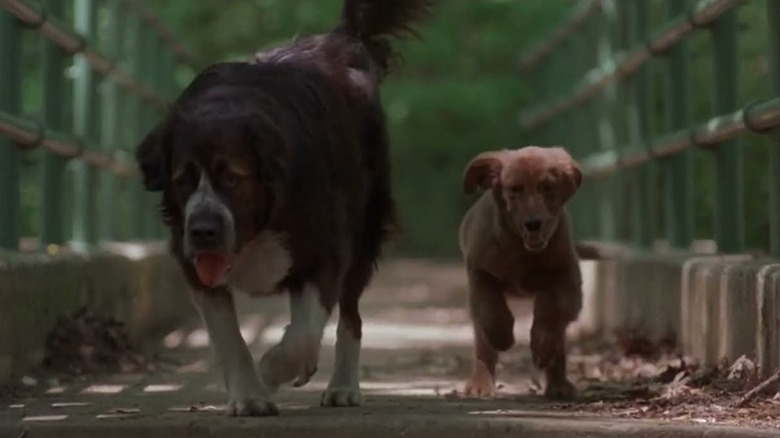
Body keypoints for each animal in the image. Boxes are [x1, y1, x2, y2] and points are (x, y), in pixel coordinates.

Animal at [460, 145, 580, 398]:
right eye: (515, 189)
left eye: (547, 187)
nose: (533, 223)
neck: (521, 251)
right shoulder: (479, 271)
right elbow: (492, 311)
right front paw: (503, 337)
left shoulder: (567, 277)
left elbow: (553, 312)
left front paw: (542, 347)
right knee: (483, 346)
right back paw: (480, 383)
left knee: (559, 345)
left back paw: (559, 384)